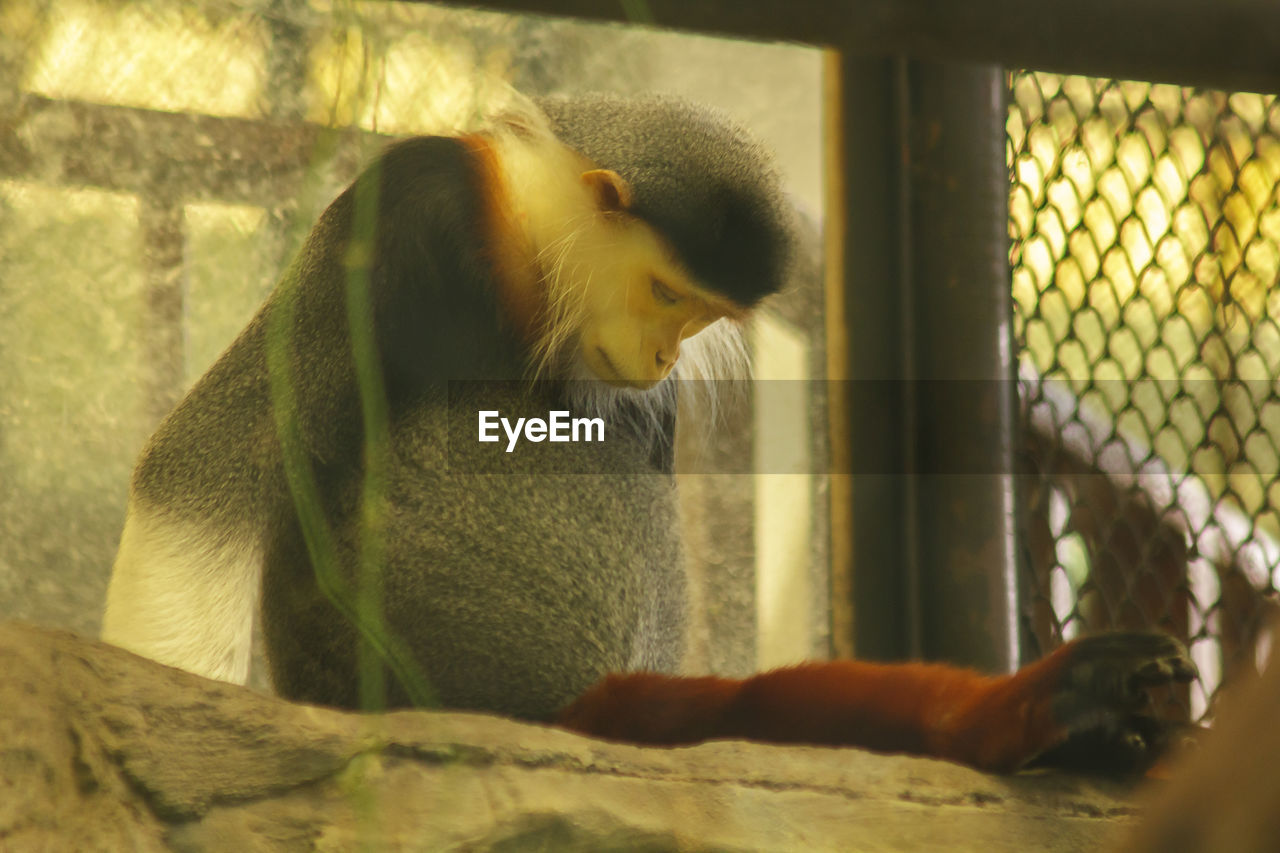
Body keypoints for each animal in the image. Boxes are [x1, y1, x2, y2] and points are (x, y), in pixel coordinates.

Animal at [104, 92, 1192, 768]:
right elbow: (200, 469)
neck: (527, 264)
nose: (667, 355)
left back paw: (1069, 711)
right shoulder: (408, 202)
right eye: (668, 295)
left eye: (701, 317)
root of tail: (569, 717)